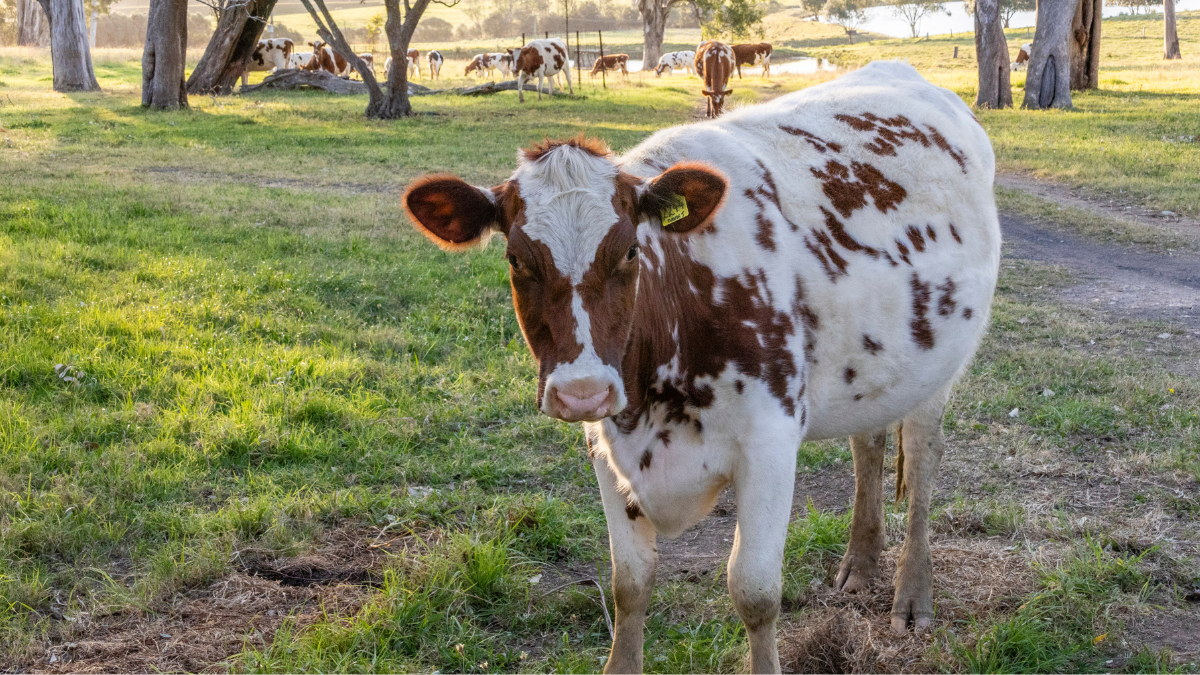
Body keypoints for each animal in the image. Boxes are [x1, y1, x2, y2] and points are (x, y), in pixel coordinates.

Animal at [401, 60, 999, 673]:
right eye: (516, 258)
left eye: (630, 251)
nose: (582, 391)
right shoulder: (607, 446)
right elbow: (629, 583)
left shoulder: (770, 442)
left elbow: (754, 591)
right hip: (874, 371)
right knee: (868, 445)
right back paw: (859, 564)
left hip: (934, 374)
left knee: (922, 467)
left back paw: (912, 595)